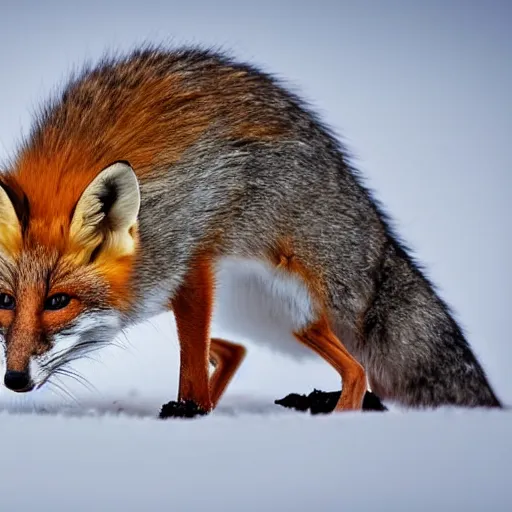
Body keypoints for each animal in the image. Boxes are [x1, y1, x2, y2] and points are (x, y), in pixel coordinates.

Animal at [0, 46, 500, 418]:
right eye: (4, 301)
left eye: (58, 301)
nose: (14, 379)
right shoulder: (169, 286)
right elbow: (202, 355)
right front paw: (193, 411)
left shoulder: (191, 260)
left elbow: (192, 364)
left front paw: (191, 413)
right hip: (255, 309)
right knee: (236, 350)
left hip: (293, 302)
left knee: (357, 371)